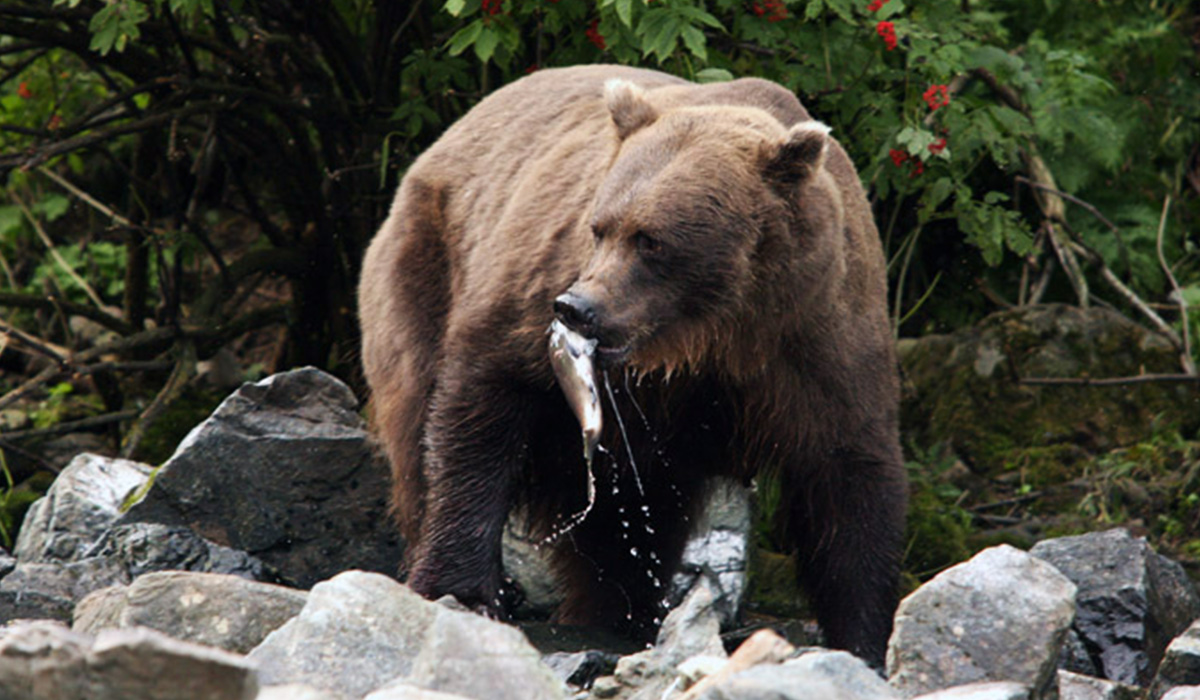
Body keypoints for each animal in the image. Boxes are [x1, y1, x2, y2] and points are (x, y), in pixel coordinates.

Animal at [358, 64, 907, 666]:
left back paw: (621, 611)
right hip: (427, 261)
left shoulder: (815, 339)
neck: (713, 335)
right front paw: (465, 589)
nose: (576, 307)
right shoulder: (535, 288)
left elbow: (848, 475)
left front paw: (864, 636)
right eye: (600, 227)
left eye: (652, 241)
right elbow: (484, 402)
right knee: (417, 421)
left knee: (634, 509)